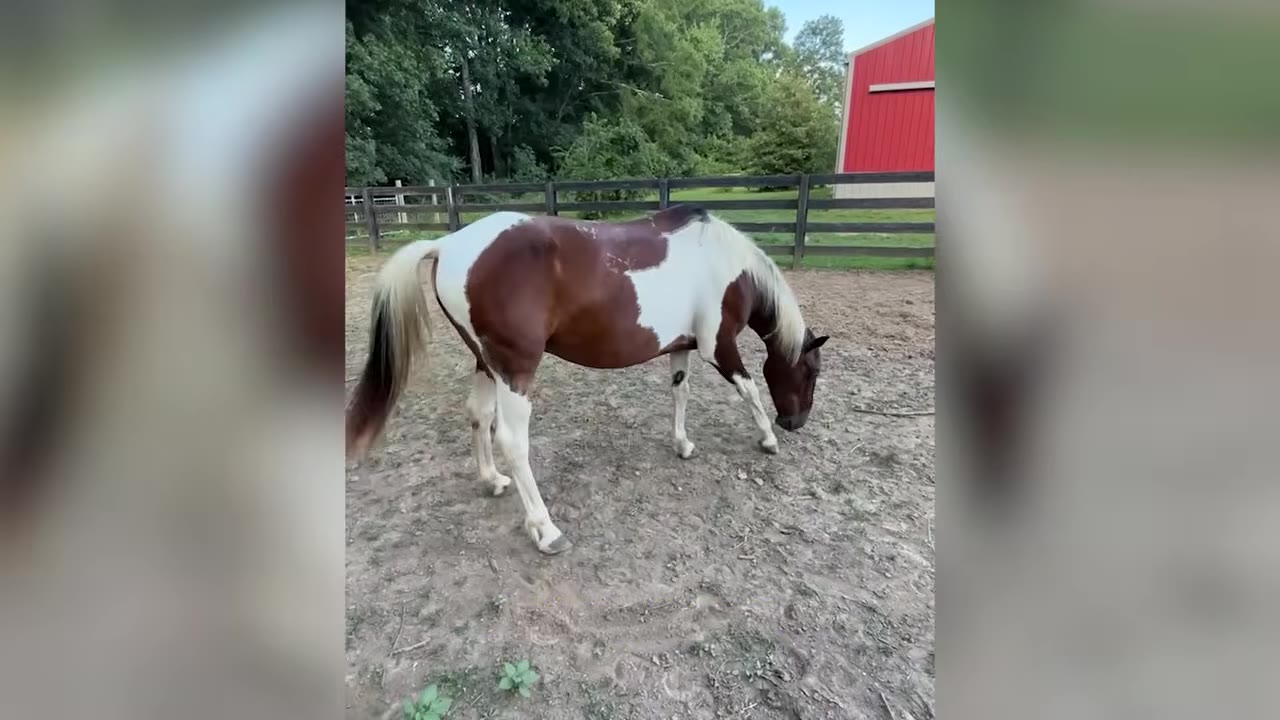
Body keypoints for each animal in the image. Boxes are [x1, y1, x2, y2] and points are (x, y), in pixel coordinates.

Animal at [345, 205, 829, 554]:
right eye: (811, 370)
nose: (795, 422)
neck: (723, 260)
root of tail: (447, 244)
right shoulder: (718, 346)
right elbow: (749, 390)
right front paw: (767, 438)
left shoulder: (683, 347)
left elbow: (681, 392)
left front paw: (683, 443)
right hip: (515, 370)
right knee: (512, 441)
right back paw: (546, 530)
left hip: (486, 363)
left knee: (478, 416)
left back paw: (492, 481)